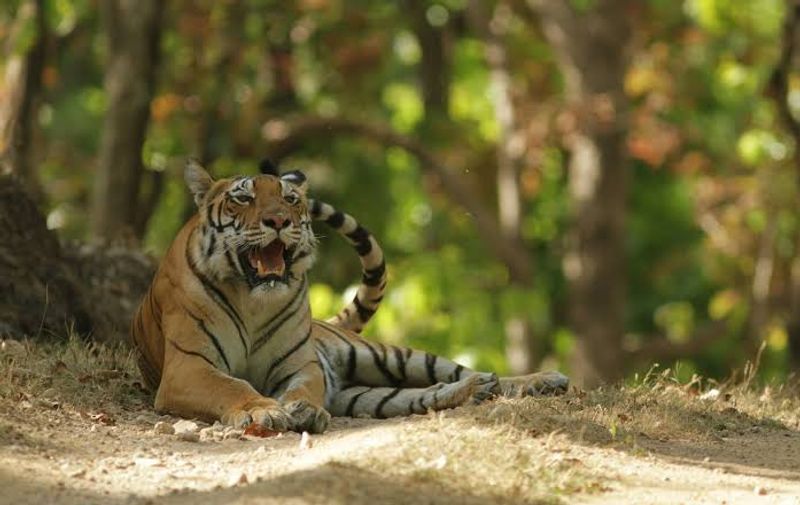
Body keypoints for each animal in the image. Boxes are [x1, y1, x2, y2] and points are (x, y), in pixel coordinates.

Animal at [130, 159, 569, 434]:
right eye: (244, 198)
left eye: (290, 199)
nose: (279, 221)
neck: (251, 299)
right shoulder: (188, 368)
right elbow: (232, 386)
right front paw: (264, 411)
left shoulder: (301, 364)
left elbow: (303, 389)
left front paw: (304, 410)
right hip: (364, 395)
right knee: (419, 396)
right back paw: (475, 390)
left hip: (388, 356)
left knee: (456, 370)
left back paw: (538, 380)